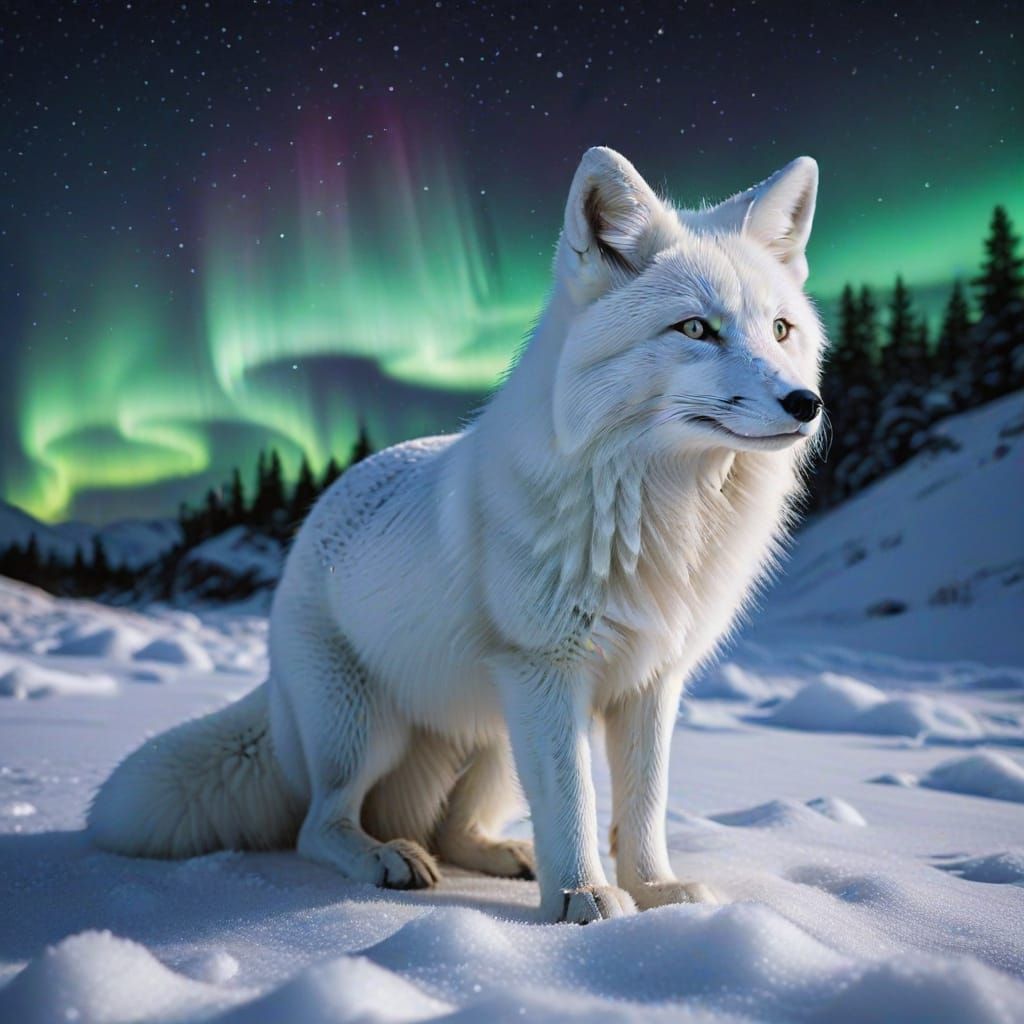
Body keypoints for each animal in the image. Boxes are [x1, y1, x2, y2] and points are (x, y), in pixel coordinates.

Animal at [89, 147, 825, 923]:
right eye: (695, 330)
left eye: (781, 330)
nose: (805, 403)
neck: (658, 513)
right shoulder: (546, 668)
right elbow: (574, 798)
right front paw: (584, 898)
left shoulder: (652, 680)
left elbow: (644, 804)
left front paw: (655, 891)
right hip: (365, 728)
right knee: (319, 824)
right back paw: (386, 858)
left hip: (491, 736)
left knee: (451, 828)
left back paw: (505, 856)